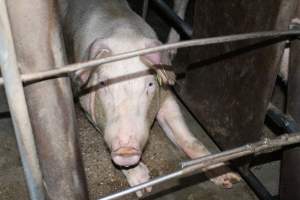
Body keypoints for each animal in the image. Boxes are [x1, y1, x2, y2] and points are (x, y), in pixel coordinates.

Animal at [61, 0, 241, 197]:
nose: (126, 149)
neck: (124, 34)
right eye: (102, 83)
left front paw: (230, 180)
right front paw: (144, 185)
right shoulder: (86, 103)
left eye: (149, 84)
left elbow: (187, 138)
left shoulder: (166, 93)